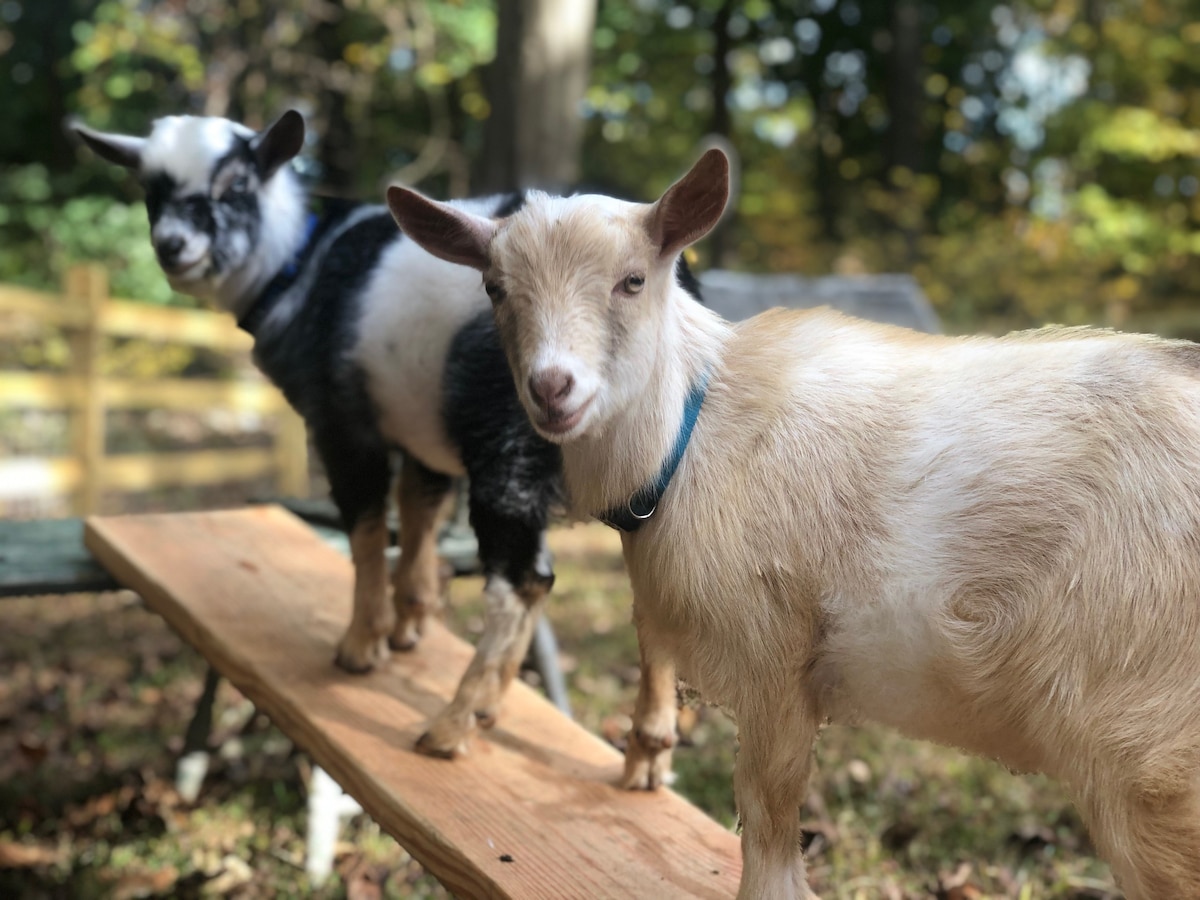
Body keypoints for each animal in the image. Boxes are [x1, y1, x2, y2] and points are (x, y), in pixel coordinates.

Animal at [388, 150, 1200, 900]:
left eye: (633, 280)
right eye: (494, 288)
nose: (553, 388)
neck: (690, 432)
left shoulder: (774, 655)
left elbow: (768, 816)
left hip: (1147, 759)